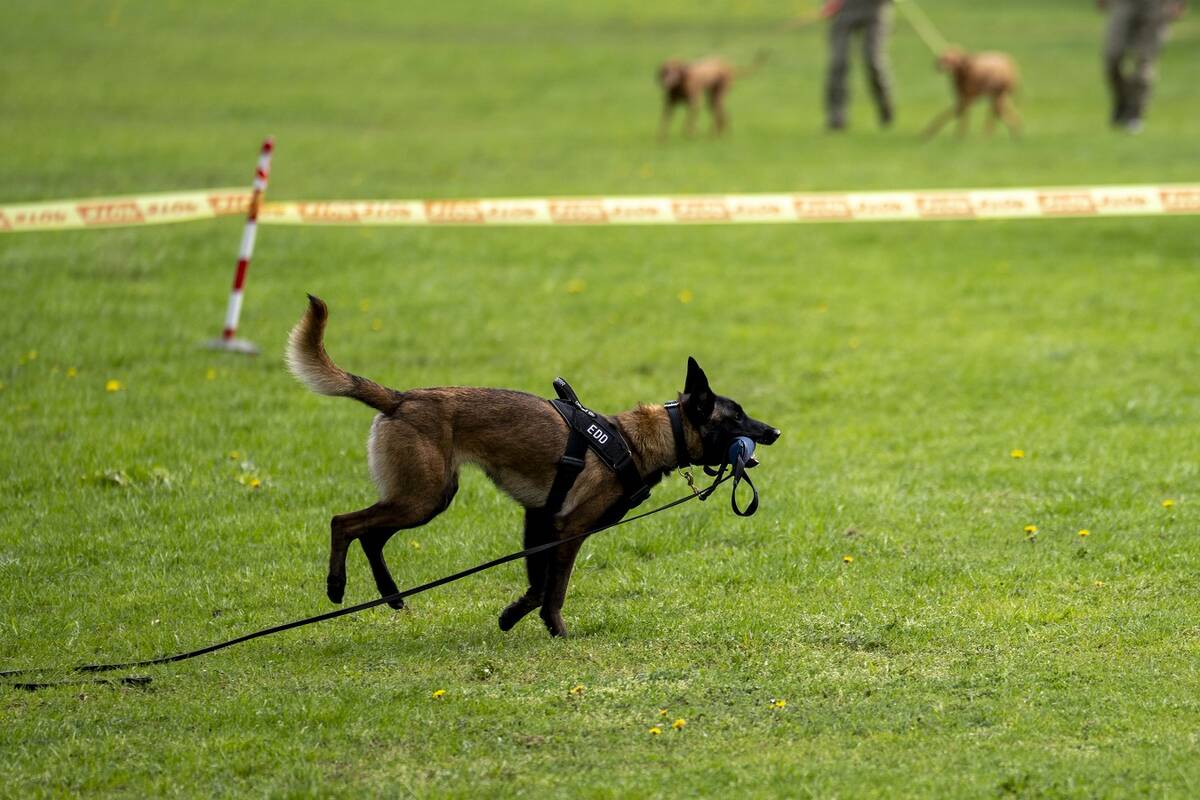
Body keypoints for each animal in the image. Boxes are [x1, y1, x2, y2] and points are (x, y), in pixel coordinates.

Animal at [286, 295, 781, 638]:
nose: (774, 431)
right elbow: (553, 589)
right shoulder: (568, 529)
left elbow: (538, 583)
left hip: (427, 497)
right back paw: (337, 586)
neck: (636, 440)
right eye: (736, 417)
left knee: (371, 536)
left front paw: (512, 616)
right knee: (344, 522)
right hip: (421, 498)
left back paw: (390, 595)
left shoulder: (540, 521)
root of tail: (401, 398)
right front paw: (554, 630)